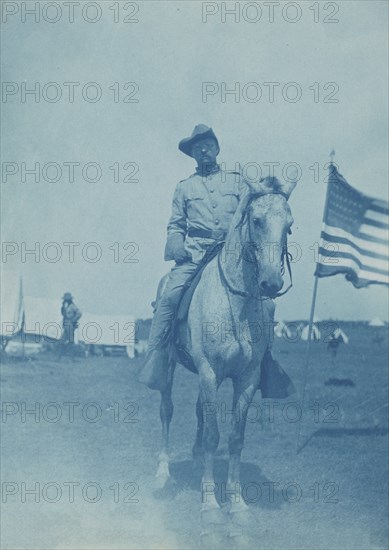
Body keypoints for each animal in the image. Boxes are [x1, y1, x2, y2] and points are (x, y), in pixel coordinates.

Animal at [153, 177, 296, 516]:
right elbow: (212, 436)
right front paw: (209, 502)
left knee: (198, 412)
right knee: (167, 410)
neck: (236, 304)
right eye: (256, 220)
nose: (271, 283)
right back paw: (162, 473)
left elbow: (234, 437)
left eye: (289, 225)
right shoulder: (209, 371)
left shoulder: (246, 379)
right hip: (170, 366)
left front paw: (237, 500)